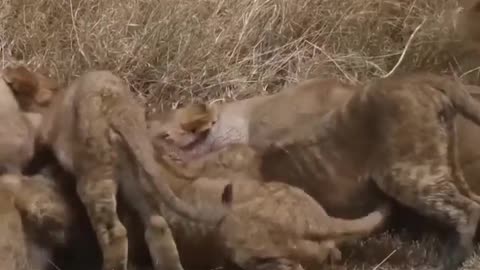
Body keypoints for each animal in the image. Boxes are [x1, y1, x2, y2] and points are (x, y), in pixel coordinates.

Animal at [1, 66, 231, 270]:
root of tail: (120, 108)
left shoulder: (41, 134)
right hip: (137, 174)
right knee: (157, 224)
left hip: (96, 170)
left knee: (115, 233)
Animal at [149, 74, 480, 270]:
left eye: (161, 133)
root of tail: (425, 78)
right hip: (441, 168)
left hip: (407, 172)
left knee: (467, 209)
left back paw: (449, 261)